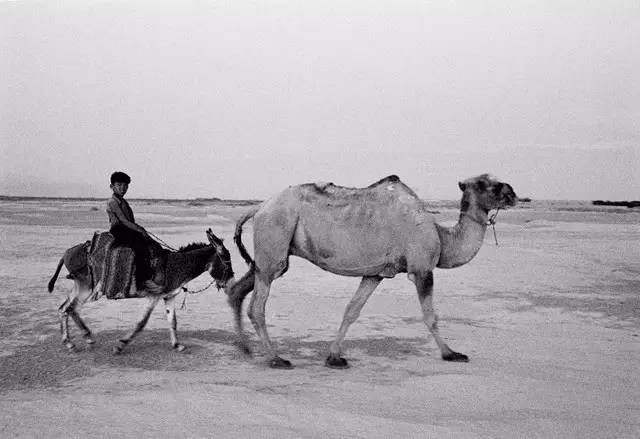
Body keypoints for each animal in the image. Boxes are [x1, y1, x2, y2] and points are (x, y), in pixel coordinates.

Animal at [48, 230, 235, 354]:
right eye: (226, 259)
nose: (232, 284)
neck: (174, 266)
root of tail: (68, 252)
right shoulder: (154, 296)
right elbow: (141, 323)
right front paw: (121, 345)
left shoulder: (169, 296)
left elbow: (173, 321)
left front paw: (177, 345)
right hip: (87, 286)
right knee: (71, 309)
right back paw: (77, 340)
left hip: (80, 286)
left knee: (64, 308)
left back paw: (75, 340)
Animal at [228, 174, 516, 370]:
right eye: (484, 183)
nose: (512, 192)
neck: (442, 236)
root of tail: (258, 207)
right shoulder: (421, 268)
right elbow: (430, 316)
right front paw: (451, 353)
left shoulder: (375, 273)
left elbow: (352, 310)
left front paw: (334, 357)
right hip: (274, 241)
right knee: (257, 306)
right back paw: (275, 358)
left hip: (270, 256)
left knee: (237, 290)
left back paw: (244, 348)